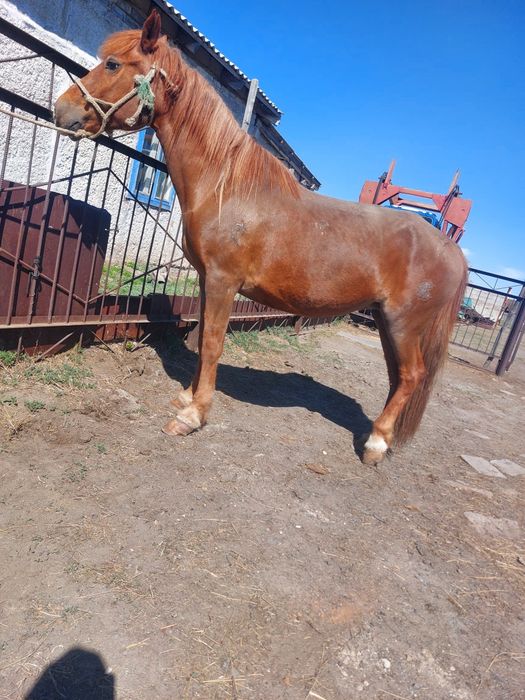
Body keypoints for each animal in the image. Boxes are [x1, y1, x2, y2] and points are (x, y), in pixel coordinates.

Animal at [54, 11, 467, 466]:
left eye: (112, 64)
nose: (61, 110)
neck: (226, 186)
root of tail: (451, 248)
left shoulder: (223, 281)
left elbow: (212, 343)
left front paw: (193, 416)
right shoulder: (207, 280)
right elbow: (203, 335)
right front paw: (188, 398)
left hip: (403, 322)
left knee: (411, 375)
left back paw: (376, 444)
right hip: (386, 320)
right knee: (398, 376)